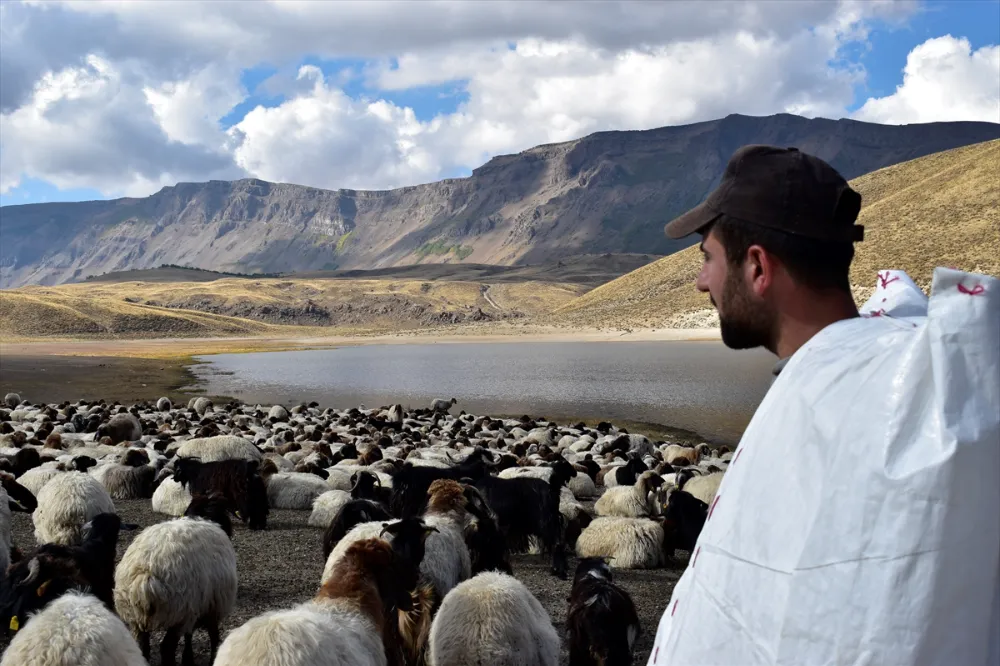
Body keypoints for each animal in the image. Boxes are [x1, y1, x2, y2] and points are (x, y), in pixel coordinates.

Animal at [114, 492, 238, 664]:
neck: (204, 516)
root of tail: (146, 576)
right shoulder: (213, 605)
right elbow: (213, 634)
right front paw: (212, 656)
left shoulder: (198, 605)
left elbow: (190, 635)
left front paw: (188, 658)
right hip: (179, 613)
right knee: (167, 648)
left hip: (136, 618)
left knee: (142, 647)